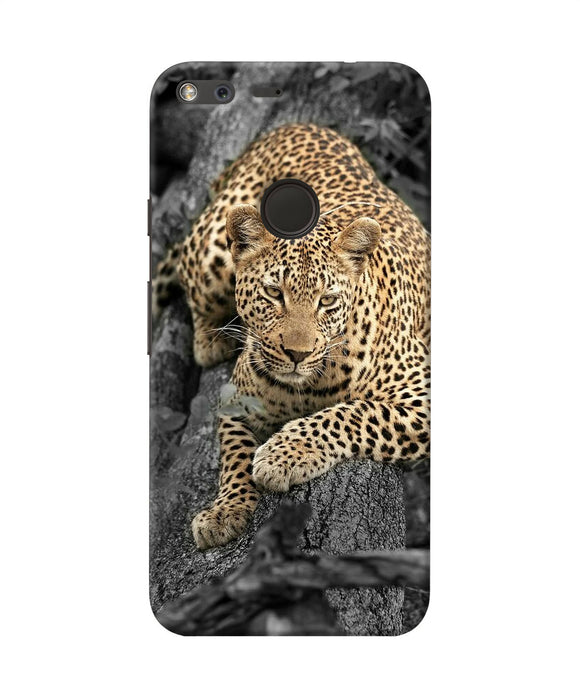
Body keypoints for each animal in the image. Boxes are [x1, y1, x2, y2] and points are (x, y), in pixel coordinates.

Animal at [153, 123, 430, 550]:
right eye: (273, 293)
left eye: (327, 300)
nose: (297, 354)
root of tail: (295, 125)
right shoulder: (236, 400)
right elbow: (234, 455)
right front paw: (224, 511)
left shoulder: (422, 396)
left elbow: (354, 413)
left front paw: (283, 455)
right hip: (212, 250)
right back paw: (211, 340)